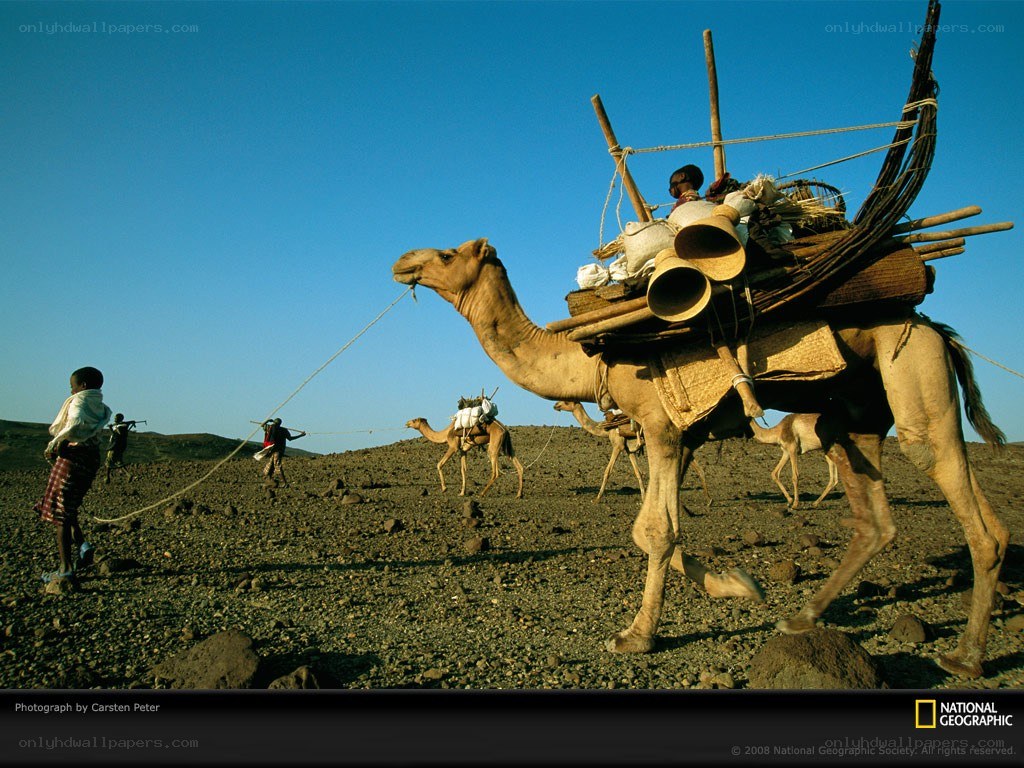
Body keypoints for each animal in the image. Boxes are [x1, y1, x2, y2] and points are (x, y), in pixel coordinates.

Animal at [553, 400, 712, 506]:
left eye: (567, 401)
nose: (556, 405)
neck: (604, 429)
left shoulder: (617, 445)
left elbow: (607, 471)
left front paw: (597, 498)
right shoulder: (629, 450)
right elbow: (638, 473)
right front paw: (643, 497)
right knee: (698, 468)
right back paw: (708, 500)